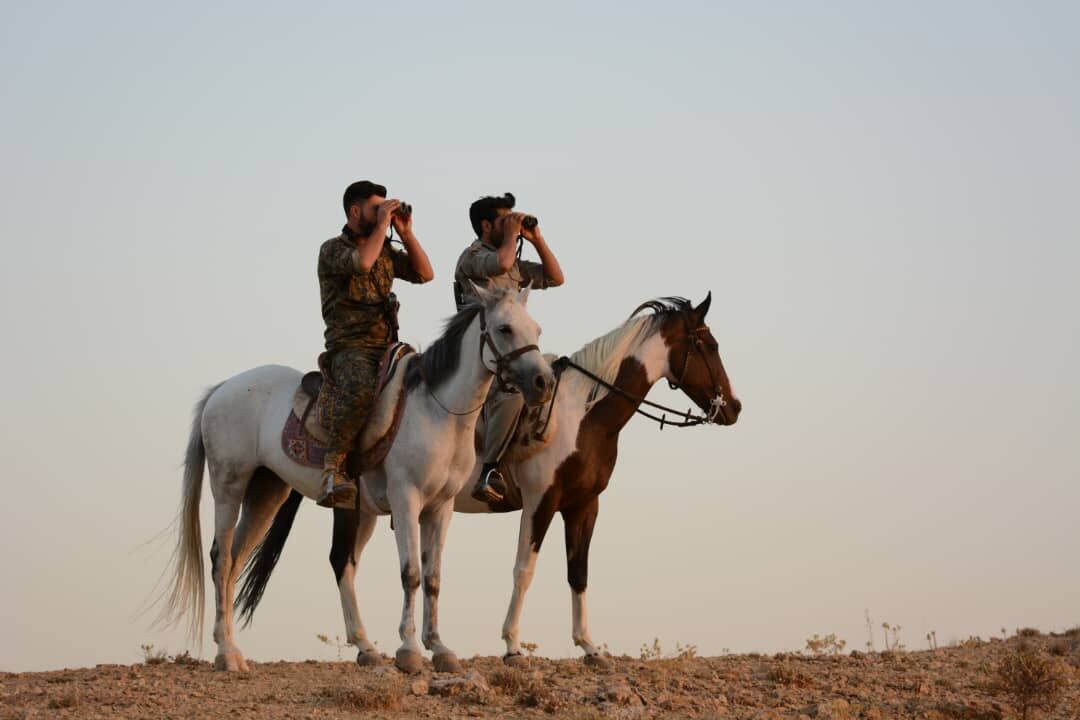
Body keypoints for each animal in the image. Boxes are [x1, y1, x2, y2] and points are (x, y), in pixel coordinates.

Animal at [156, 287, 552, 677]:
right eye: (504, 328)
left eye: (536, 329)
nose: (543, 382)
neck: (438, 413)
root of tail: (222, 389)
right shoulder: (406, 500)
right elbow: (411, 573)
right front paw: (409, 650)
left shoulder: (441, 508)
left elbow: (433, 578)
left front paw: (440, 649)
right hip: (229, 487)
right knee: (221, 558)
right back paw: (226, 653)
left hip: (268, 494)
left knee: (243, 561)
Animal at [238, 295, 743, 669]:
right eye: (707, 344)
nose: (734, 407)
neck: (582, 413)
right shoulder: (542, 501)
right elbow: (524, 569)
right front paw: (513, 646)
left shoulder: (584, 506)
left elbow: (578, 572)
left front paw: (590, 647)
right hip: (357, 506)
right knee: (341, 562)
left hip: (364, 510)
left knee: (346, 563)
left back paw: (367, 648)